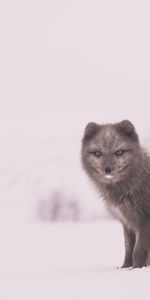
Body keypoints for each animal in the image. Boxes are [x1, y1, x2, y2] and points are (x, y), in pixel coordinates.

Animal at [81, 120, 150, 268]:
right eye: (98, 153)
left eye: (119, 152)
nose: (107, 169)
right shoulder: (127, 221)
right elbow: (128, 246)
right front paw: (126, 267)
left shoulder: (144, 219)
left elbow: (138, 249)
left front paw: (137, 267)